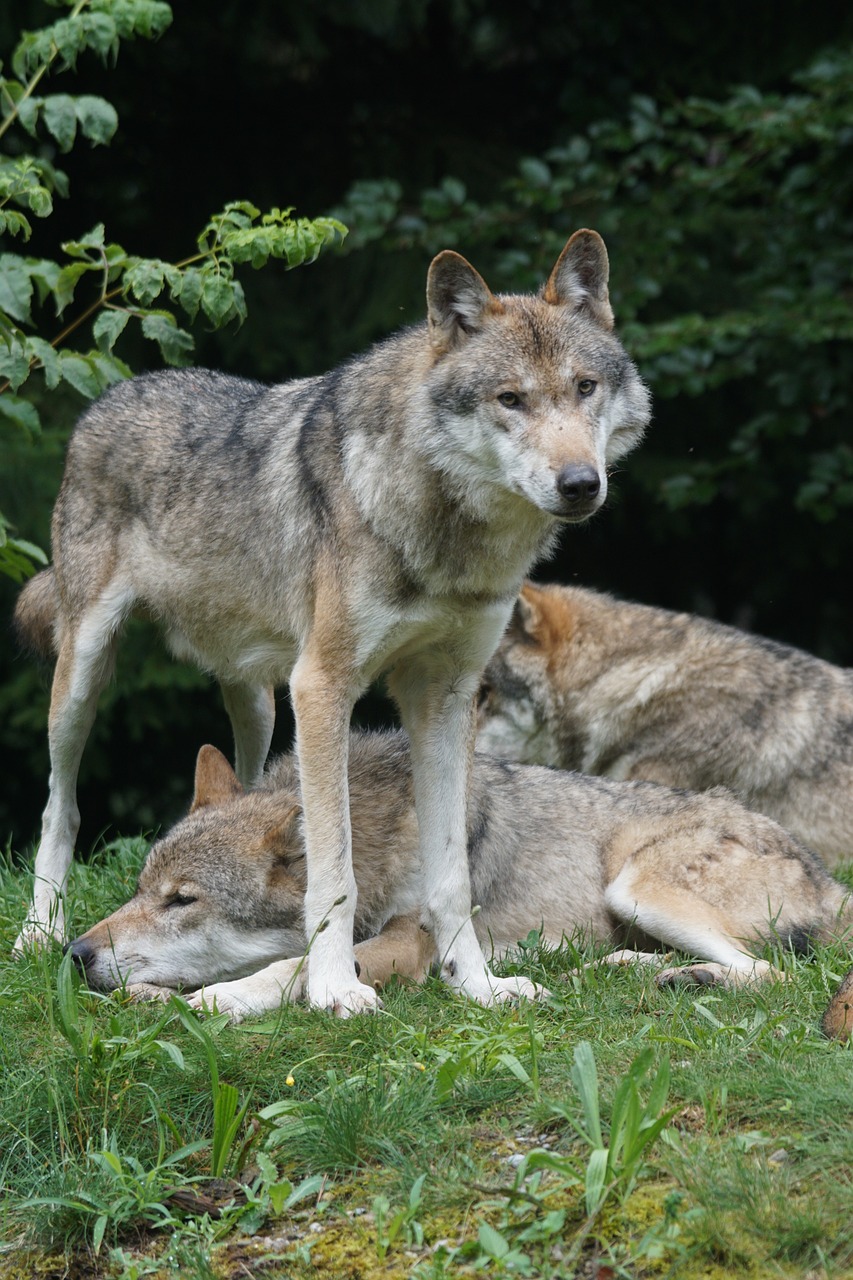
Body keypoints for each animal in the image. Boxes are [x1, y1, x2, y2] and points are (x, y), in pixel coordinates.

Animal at [9, 227, 648, 1008]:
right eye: (510, 399)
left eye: (584, 388)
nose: (580, 483)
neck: (447, 537)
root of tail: (118, 390)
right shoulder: (322, 687)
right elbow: (333, 868)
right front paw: (336, 987)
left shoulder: (445, 699)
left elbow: (449, 877)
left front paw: (477, 984)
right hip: (84, 674)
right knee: (60, 804)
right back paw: (39, 930)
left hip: (257, 701)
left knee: (244, 783)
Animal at [68, 737, 850, 1024]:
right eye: (139, 891)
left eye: (182, 901)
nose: (75, 953)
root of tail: (827, 876)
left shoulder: (409, 943)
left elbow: (293, 968)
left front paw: (218, 999)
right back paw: (632, 970)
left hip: (636, 884)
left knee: (776, 974)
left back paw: (690, 980)